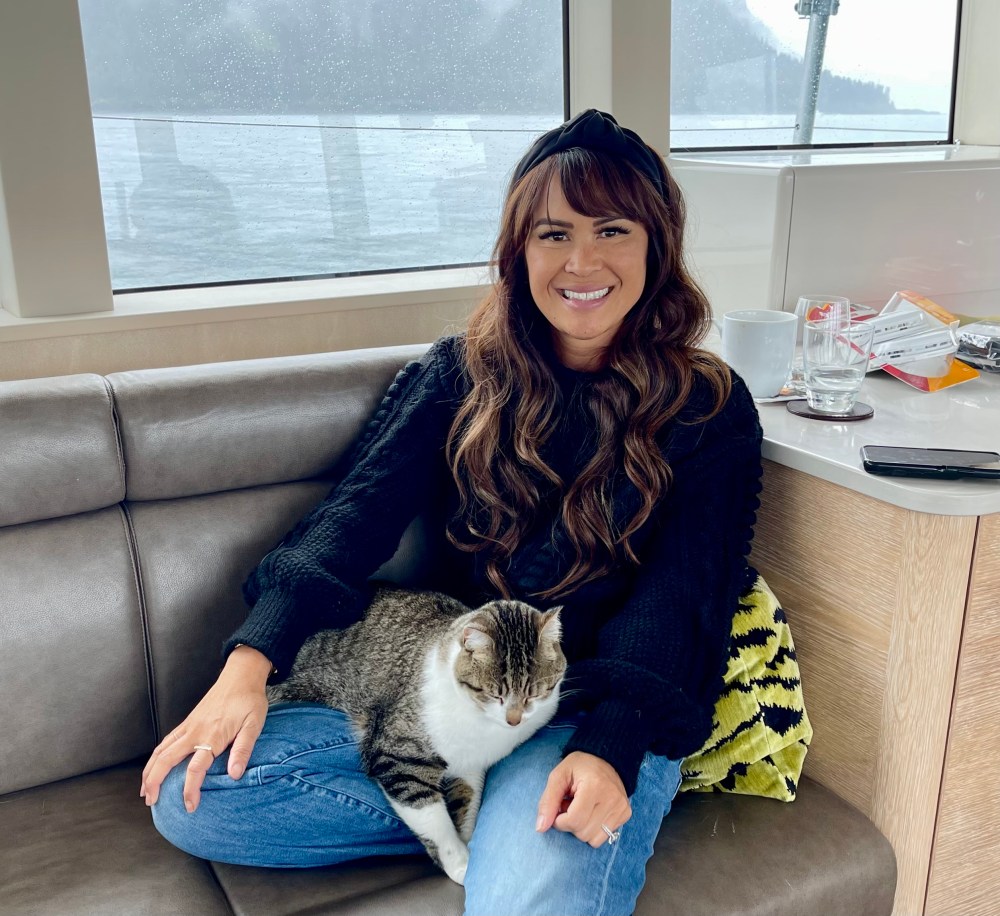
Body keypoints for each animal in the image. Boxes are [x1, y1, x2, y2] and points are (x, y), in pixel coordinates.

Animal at [266, 585, 566, 885]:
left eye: (535, 694)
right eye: (495, 695)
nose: (514, 720)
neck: (481, 724)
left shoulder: (471, 765)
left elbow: (467, 801)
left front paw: (467, 839)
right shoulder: (398, 756)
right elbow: (431, 816)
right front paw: (459, 863)